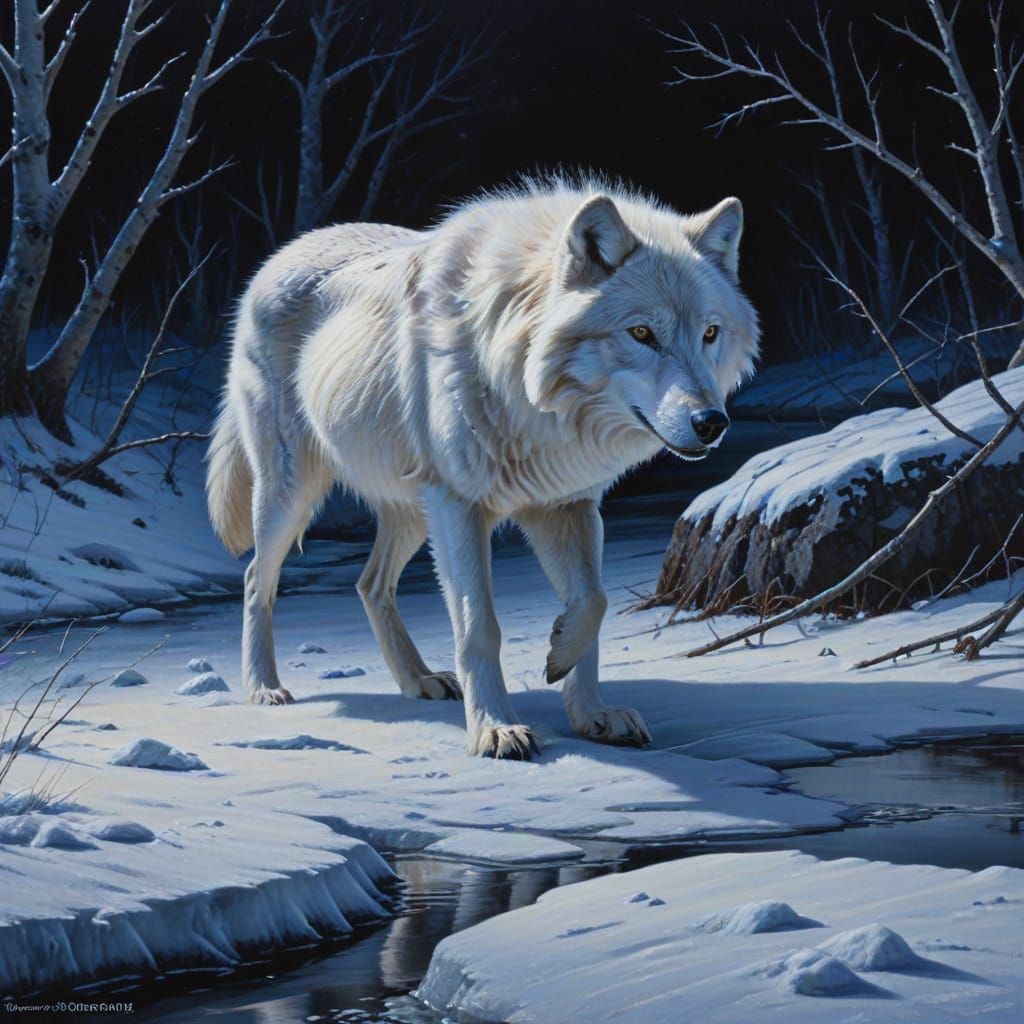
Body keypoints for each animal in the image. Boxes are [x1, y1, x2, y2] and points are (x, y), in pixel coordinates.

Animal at [206, 177, 759, 759]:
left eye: (710, 333)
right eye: (642, 334)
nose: (711, 422)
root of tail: (278, 257)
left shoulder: (568, 504)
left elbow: (594, 601)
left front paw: (587, 705)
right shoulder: (459, 505)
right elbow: (479, 628)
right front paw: (495, 729)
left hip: (413, 512)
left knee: (370, 583)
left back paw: (420, 680)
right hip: (294, 493)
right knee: (255, 578)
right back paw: (263, 688)